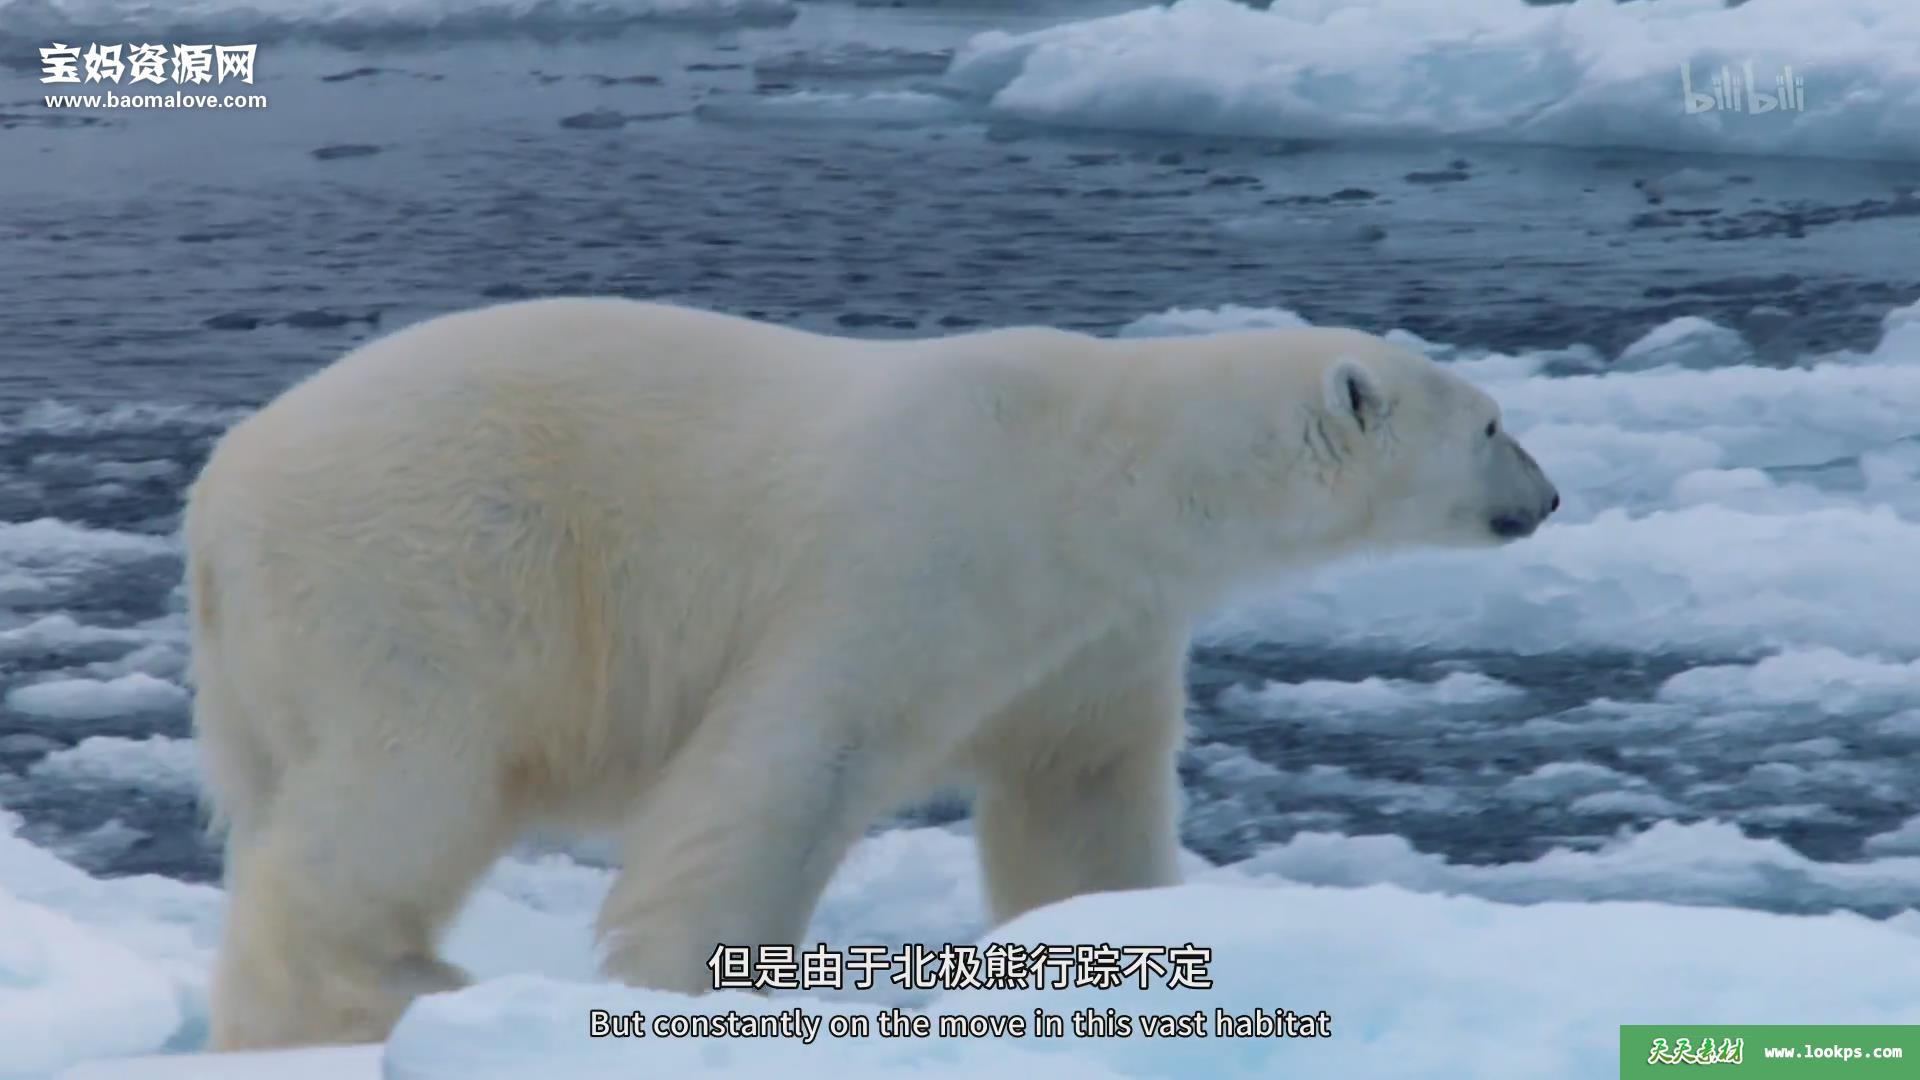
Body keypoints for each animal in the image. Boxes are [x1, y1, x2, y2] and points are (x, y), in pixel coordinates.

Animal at [182, 297, 1559, 1051]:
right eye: (1493, 424)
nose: (1547, 500)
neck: (1106, 467)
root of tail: (218, 501)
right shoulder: (922, 545)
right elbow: (787, 762)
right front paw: (692, 990)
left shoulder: (1096, 628)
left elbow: (1080, 798)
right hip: (431, 570)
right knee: (404, 787)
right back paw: (370, 991)